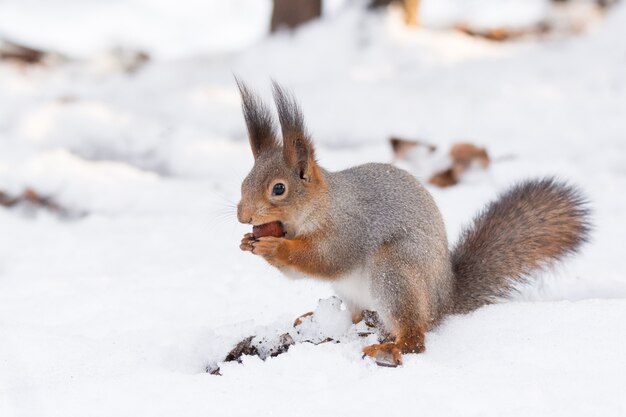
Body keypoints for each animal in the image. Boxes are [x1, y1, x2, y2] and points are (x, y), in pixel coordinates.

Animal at [234, 79, 588, 366]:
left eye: (278, 189)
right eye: (244, 180)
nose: (243, 217)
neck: (319, 207)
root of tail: (445, 299)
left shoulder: (348, 229)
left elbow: (325, 259)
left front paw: (275, 248)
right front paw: (247, 243)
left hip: (396, 270)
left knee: (415, 335)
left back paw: (393, 347)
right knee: (357, 315)